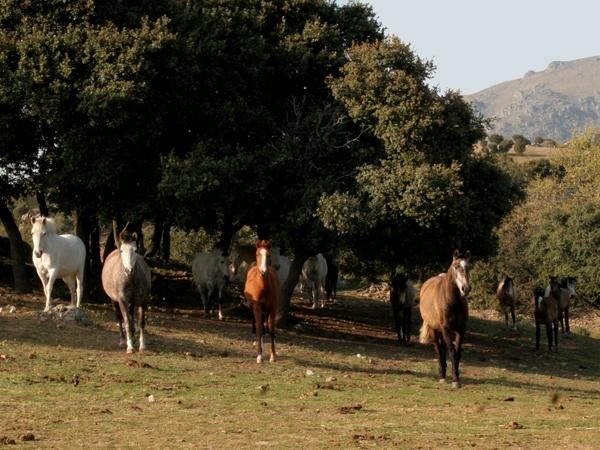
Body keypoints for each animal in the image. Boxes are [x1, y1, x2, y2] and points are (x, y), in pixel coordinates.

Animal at [420, 251, 472, 388]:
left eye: (468, 267)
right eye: (457, 266)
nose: (466, 288)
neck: (452, 302)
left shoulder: (461, 329)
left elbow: (457, 353)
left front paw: (457, 377)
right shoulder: (446, 329)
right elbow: (451, 351)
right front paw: (455, 381)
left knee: (443, 349)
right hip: (435, 329)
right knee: (439, 350)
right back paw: (442, 376)